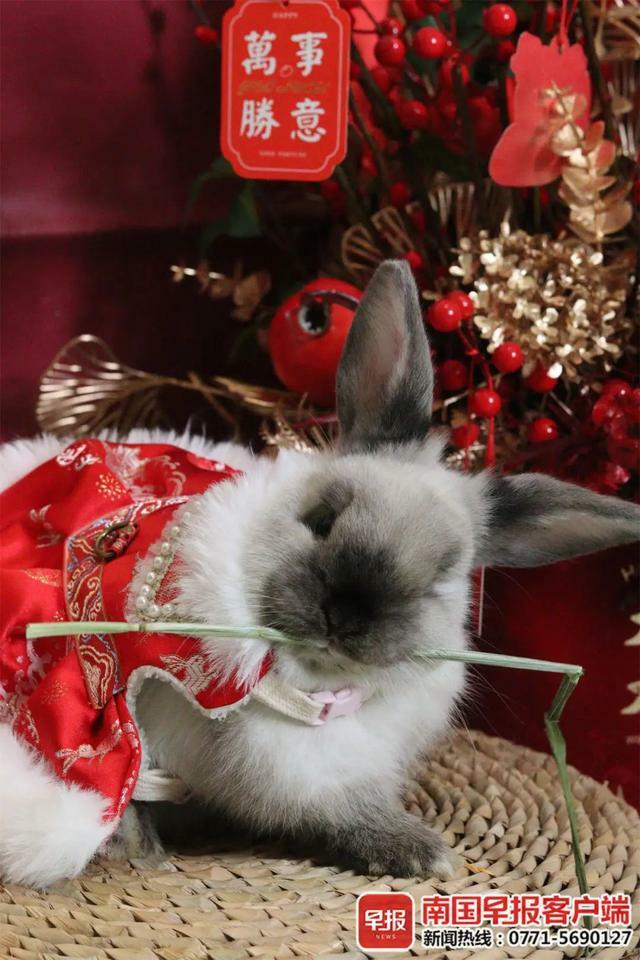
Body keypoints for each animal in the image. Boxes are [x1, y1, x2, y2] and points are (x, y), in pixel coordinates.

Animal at [1, 259, 639, 890]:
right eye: (322, 519)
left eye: (444, 576)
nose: (346, 614)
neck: (307, 689)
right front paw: (422, 852)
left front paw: (413, 850)